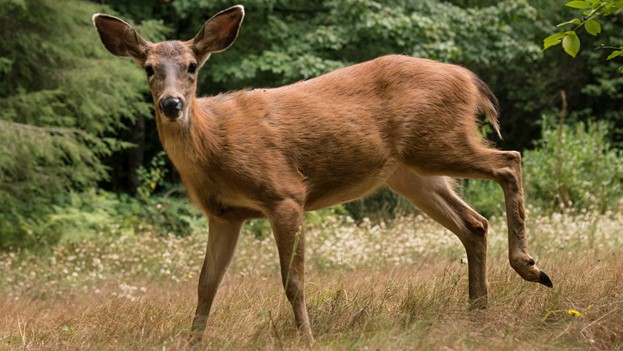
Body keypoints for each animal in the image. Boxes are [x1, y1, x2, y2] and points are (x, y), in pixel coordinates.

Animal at [91, 4, 552, 344]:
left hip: (436, 142)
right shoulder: (225, 215)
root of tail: (470, 79)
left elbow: (292, 280)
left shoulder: (284, 194)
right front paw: (194, 342)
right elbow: (206, 284)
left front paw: (307, 338)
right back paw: (479, 313)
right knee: (474, 223)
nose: (171, 104)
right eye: (149, 68)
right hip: (410, 173)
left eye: (191, 65)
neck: (214, 145)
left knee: (509, 160)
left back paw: (529, 267)